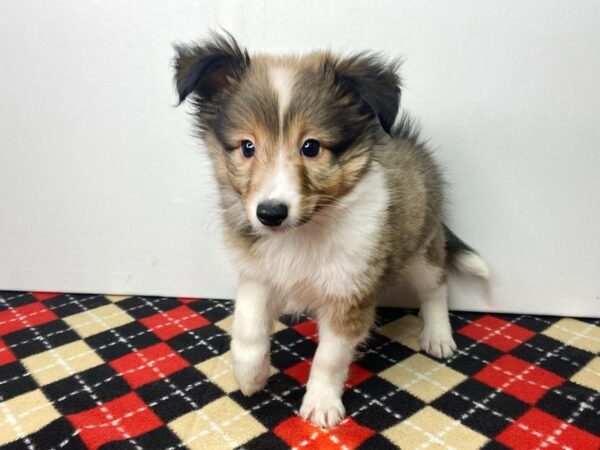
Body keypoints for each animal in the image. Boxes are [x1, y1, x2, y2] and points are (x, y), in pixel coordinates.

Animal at [172, 33, 488, 428]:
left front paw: (321, 404)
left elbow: (330, 356)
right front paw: (250, 374)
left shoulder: (349, 293)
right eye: (247, 146)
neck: (301, 233)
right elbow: (247, 327)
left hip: (422, 248)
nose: (271, 213)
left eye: (311, 147)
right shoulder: (257, 272)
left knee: (436, 286)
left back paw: (438, 335)